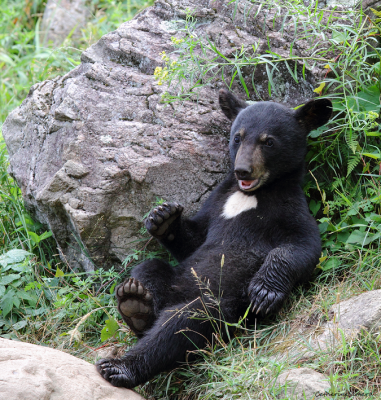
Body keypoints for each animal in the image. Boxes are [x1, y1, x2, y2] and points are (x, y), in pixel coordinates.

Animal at [96, 89, 332, 386]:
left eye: (268, 141)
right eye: (237, 137)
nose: (243, 170)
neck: (251, 194)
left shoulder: (291, 206)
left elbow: (303, 245)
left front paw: (264, 291)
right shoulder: (217, 201)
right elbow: (195, 239)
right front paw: (162, 216)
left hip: (226, 307)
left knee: (181, 326)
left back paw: (120, 365)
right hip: (179, 279)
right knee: (149, 269)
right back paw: (136, 303)